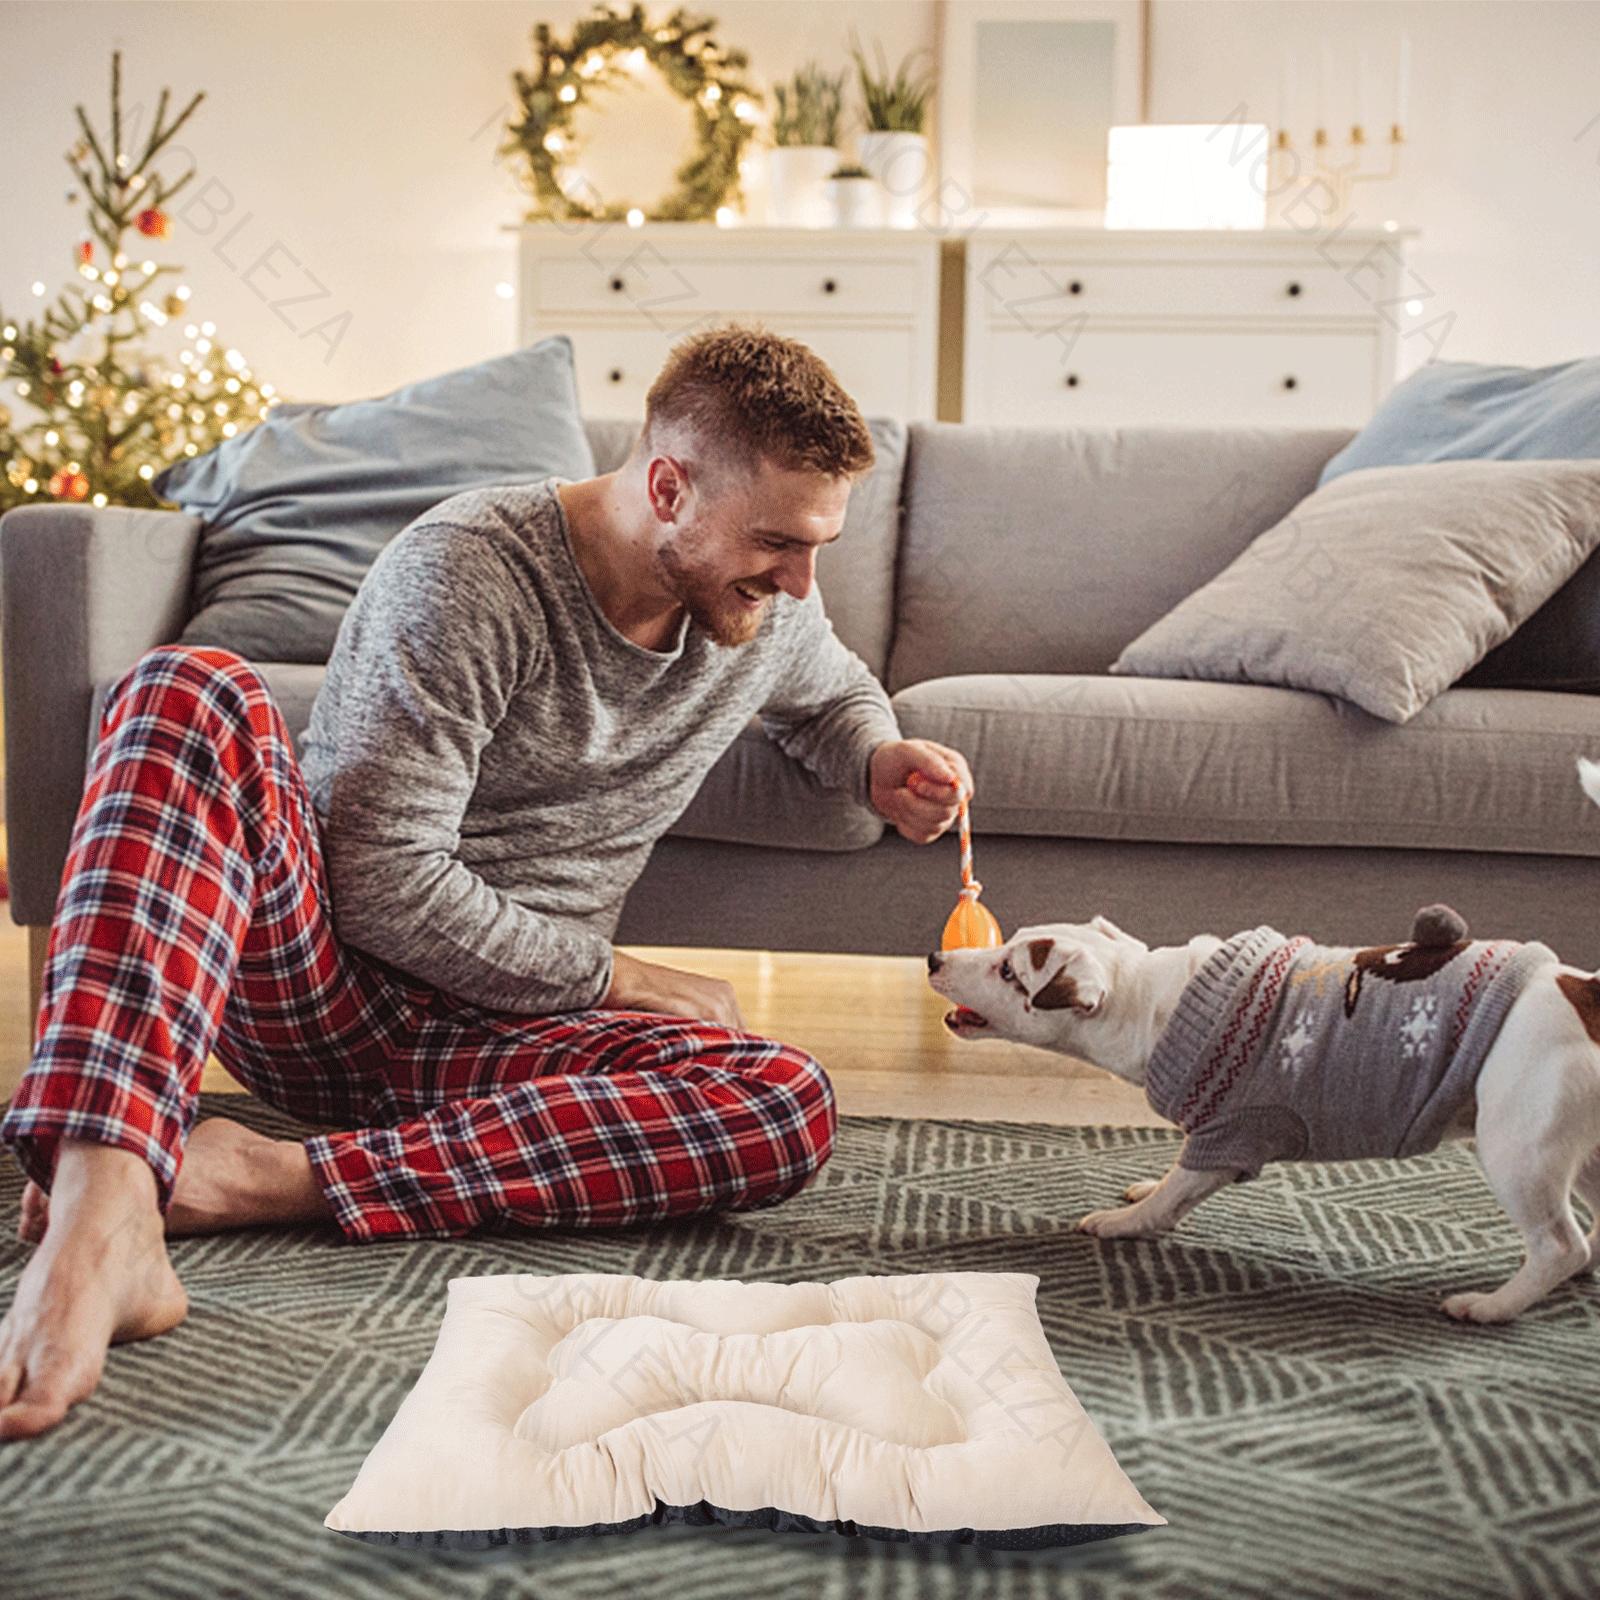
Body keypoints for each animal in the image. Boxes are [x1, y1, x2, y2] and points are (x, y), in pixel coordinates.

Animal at [928, 761, 1600, 1324]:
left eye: (1009, 972)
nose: (935, 958)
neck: (1154, 1001)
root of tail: (1584, 991)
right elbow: (1170, 1182)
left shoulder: (1232, 1133)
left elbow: (1174, 1193)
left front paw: (1125, 1220)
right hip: (1584, 1152)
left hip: (1519, 1146)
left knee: (1560, 1245)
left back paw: (1492, 1305)